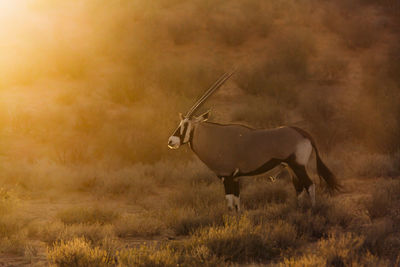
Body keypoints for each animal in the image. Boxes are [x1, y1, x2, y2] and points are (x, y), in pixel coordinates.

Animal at [167, 72, 340, 213]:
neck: (214, 136)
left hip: (298, 165)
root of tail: (304, 133)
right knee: (298, 187)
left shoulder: (227, 176)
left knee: (310, 185)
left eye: (186, 125)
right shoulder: (235, 178)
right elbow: (237, 204)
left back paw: (313, 211)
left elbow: (230, 205)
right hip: (291, 167)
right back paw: (298, 210)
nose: (171, 141)